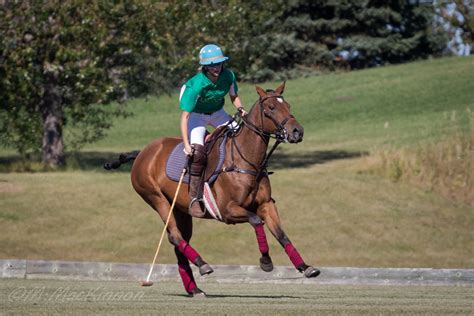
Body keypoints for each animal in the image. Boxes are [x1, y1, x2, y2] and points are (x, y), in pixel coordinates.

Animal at [105, 81, 320, 296]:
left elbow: (281, 234)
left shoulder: (266, 204)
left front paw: (306, 267)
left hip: (181, 210)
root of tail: (142, 152)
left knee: (179, 242)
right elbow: (256, 221)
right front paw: (266, 262)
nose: (297, 132)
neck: (245, 160)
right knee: (175, 236)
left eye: (288, 105)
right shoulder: (227, 210)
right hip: (156, 199)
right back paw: (203, 265)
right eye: (271, 108)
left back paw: (194, 289)